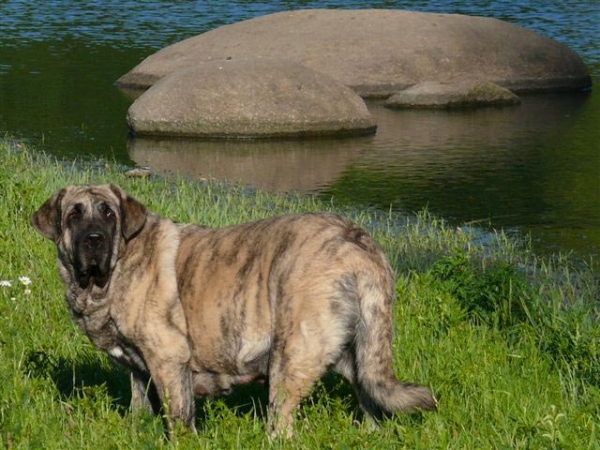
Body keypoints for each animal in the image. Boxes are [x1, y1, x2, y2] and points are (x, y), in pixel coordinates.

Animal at [31, 183, 436, 436]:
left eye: (109, 215)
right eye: (73, 216)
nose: (94, 239)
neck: (113, 271)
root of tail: (357, 242)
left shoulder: (168, 359)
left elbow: (178, 416)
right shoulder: (138, 368)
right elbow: (138, 402)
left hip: (291, 355)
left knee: (282, 421)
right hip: (358, 352)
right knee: (372, 397)